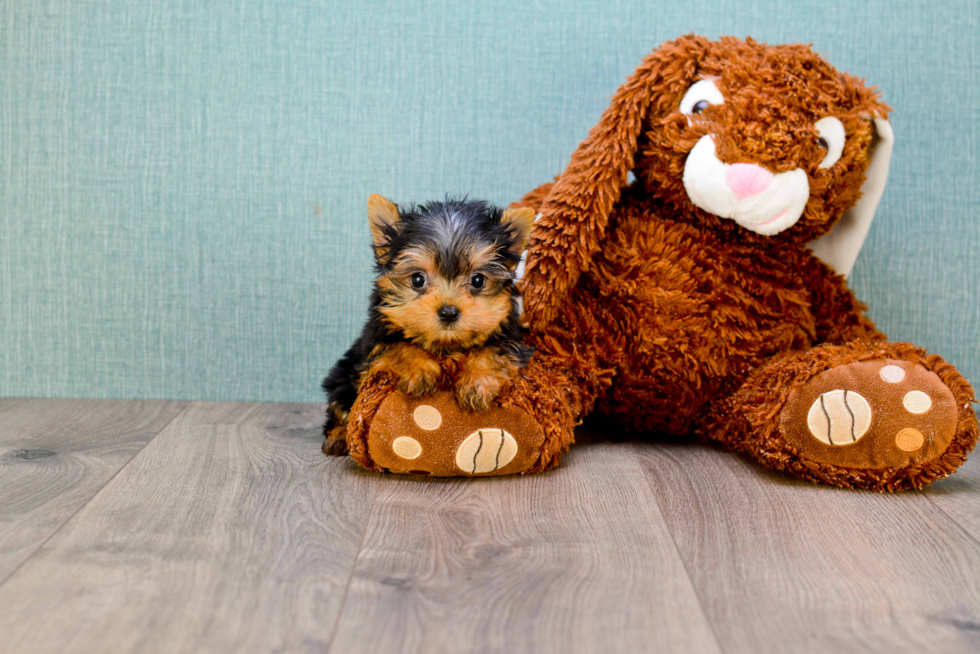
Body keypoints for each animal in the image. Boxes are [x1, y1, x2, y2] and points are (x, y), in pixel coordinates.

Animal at [322, 195, 536, 456]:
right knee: (340, 407)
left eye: (478, 280)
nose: (448, 312)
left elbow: (494, 350)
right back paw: (338, 437)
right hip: (342, 378)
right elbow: (398, 346)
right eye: (417, 279)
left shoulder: (510, 337)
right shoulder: (373, 343)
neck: (445, 345)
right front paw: (419, 370)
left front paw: (477, 382)